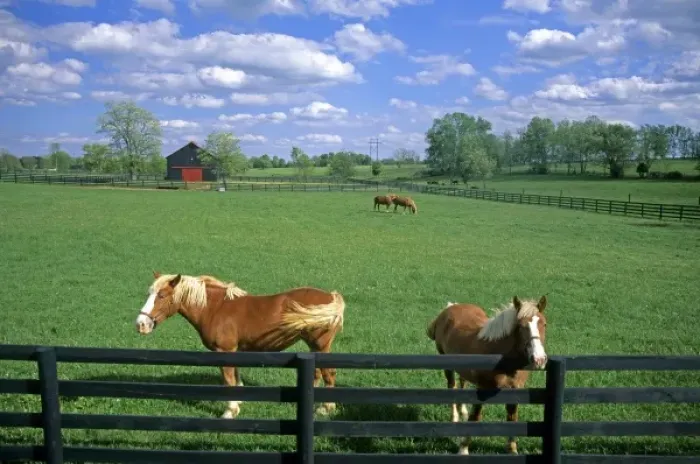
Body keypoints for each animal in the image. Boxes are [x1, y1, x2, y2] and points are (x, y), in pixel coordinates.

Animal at [135, 271, 345, 418]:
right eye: (149, 293)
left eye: (162, 295)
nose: (140, 324)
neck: (215, 308)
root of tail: (332, 297)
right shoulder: (234, 350)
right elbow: (235, 377)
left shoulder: (224, 351)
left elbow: (228, 380)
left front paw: (230, 410)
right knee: (317, 373)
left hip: (320, 345)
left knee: (329, 373)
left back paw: (326, 408)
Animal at [426, 295, 549, 455]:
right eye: (520, 326)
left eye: (544, 324)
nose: (539, 359)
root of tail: (450, 308)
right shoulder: (482, 389)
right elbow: (475, 417)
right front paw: (463, 448)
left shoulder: (515, 390)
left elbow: (512, 418)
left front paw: (512, 450)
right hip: (447, 364)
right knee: (451, 386)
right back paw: (455, 418)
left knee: (462, 382)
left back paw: (462, 411)